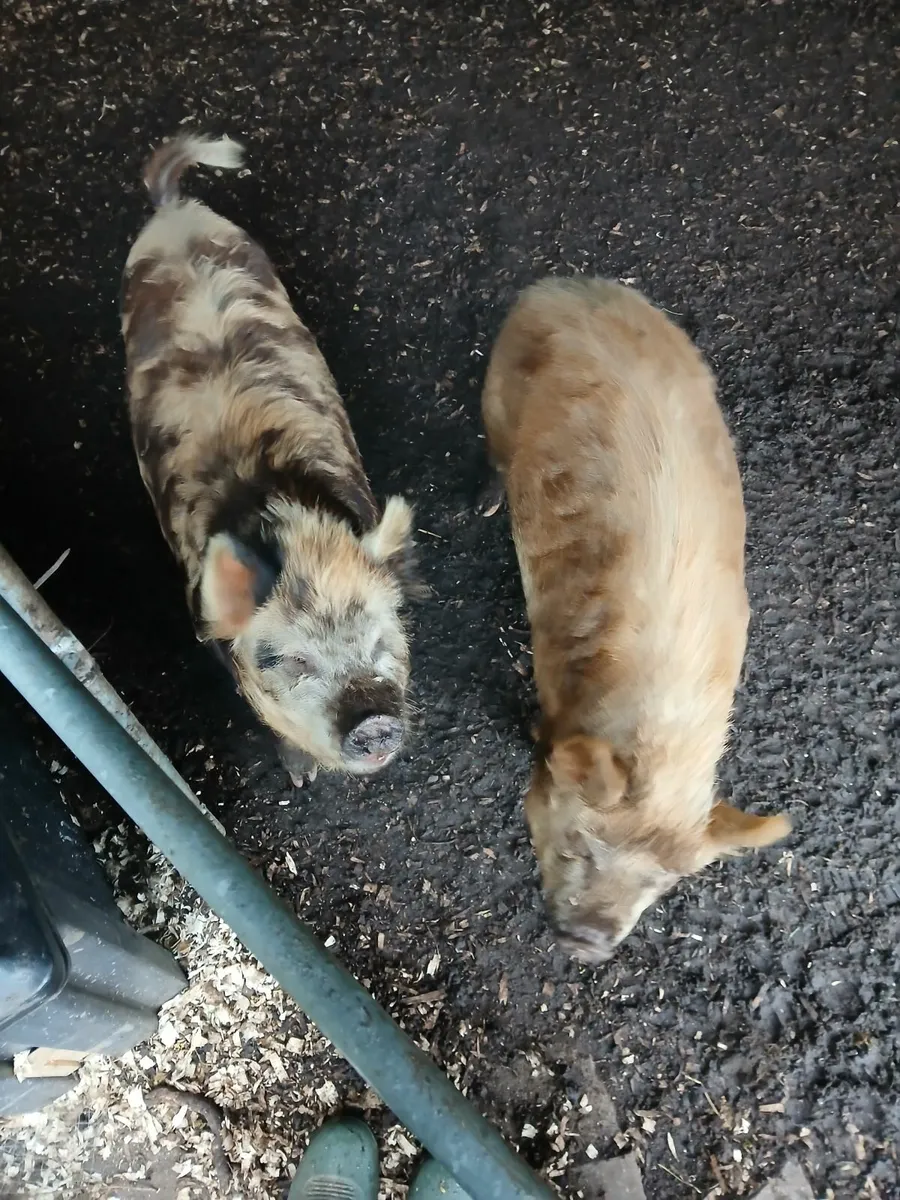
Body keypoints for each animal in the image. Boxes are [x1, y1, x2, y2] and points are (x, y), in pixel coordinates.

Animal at [121, 132, 419, 787]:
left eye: (377, 635)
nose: (373, 719)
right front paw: (301, 776)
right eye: (290, 660)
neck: (290, 519)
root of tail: (171, 210)